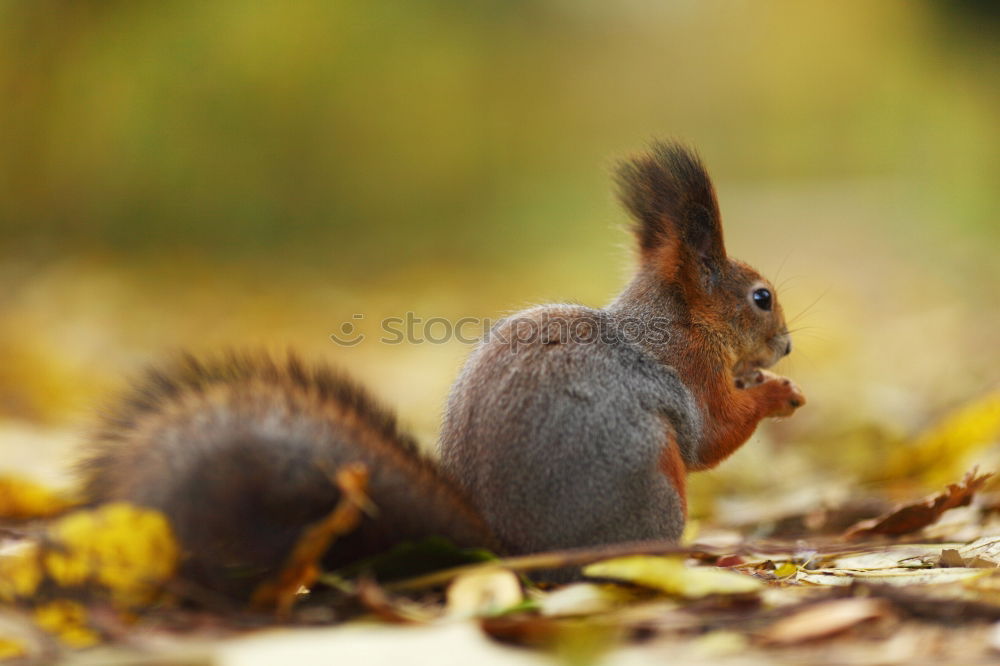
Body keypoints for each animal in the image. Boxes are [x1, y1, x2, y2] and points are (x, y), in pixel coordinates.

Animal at [76, 143, 804, 600]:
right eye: (761, 297)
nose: (787, 349)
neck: (675, 322)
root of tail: (510, 556)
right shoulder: (686, 377)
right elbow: (712, 436)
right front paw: (774, 395)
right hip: (652, 491)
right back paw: (702, 558)